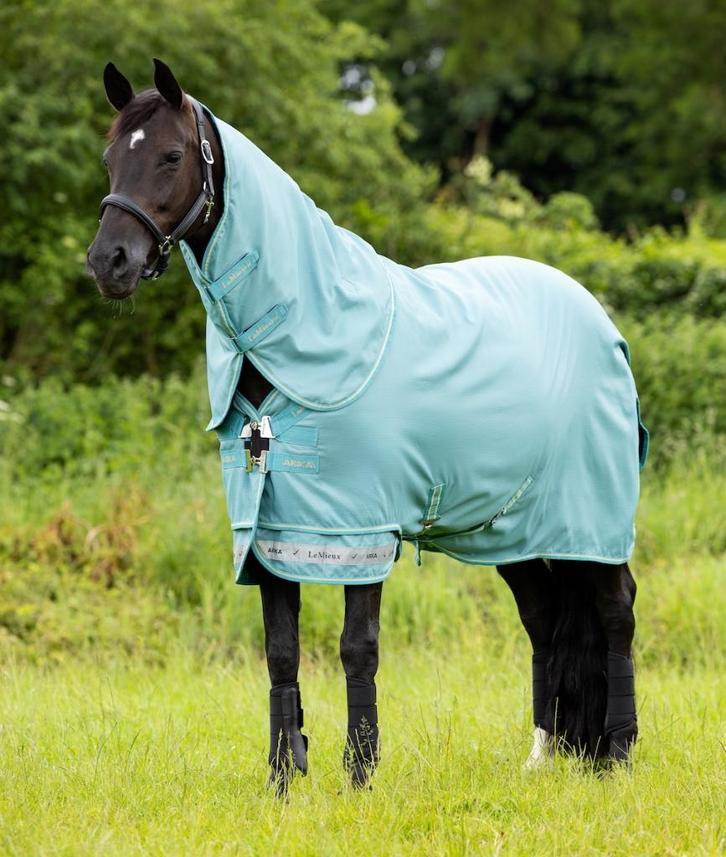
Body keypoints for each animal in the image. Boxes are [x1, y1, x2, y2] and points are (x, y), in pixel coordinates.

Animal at [87, 59, 644, 793]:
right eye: (110, 159)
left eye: (172, 156)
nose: (109, 262)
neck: (307, 331)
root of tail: (601, 323)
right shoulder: (267, 529)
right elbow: (281, 651)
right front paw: (285, 776)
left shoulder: (359, 527)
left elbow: (357, 648)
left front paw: (359, 772)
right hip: (513, 528)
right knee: (547, 618)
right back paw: (544, 755)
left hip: (592, 512)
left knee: (614, 610)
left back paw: (617, 752)